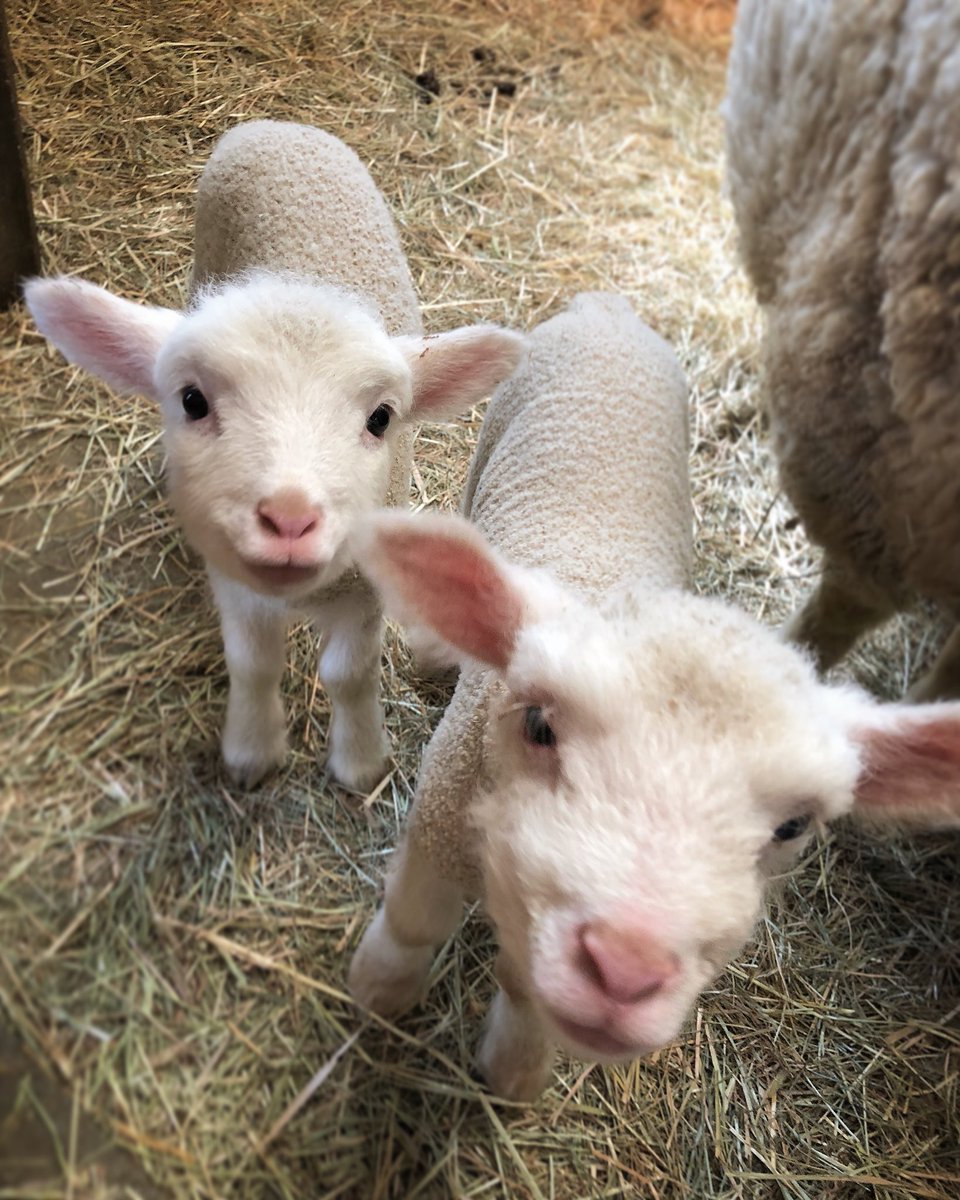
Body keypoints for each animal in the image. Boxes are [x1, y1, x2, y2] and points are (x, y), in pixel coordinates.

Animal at [24, 117, 525, 792]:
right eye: (191, 400)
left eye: (381, 418)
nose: (290, 519)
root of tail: (279, 124)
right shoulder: (236, 584)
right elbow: (253, 664)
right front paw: (251, 751)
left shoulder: (364, 589)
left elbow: (348, 673)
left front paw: (360, 761)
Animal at [348, 288, 960, 1099]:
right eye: (537, 725)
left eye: (794, 827)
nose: (625, 968)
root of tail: (606, 306)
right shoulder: (439, 819)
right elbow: (414, 921)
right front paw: (379, 990)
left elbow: (526, 997)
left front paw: (515, 1072)